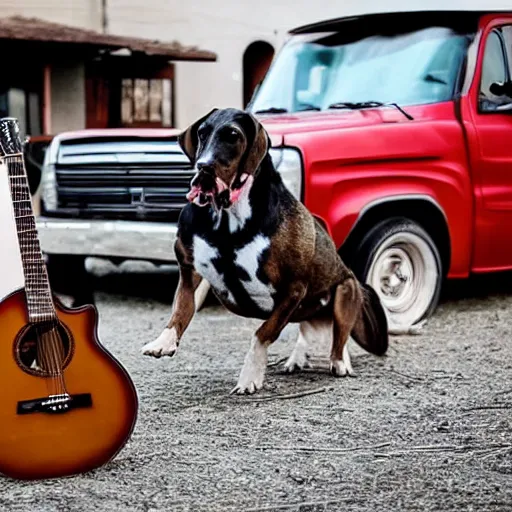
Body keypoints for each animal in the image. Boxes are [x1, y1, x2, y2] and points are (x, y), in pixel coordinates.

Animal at [141, 108, 388, 394]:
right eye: (202, 133)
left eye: (233, 135)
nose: (204, 166)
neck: (228, 219)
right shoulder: (190, 273)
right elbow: (180, 310)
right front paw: (164, 341)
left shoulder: (293, 290)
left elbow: (262, 333)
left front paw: (250, 376)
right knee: (308, 331)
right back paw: (297, 358)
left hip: (344, 291)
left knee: (340, 335)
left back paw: (339, 361)